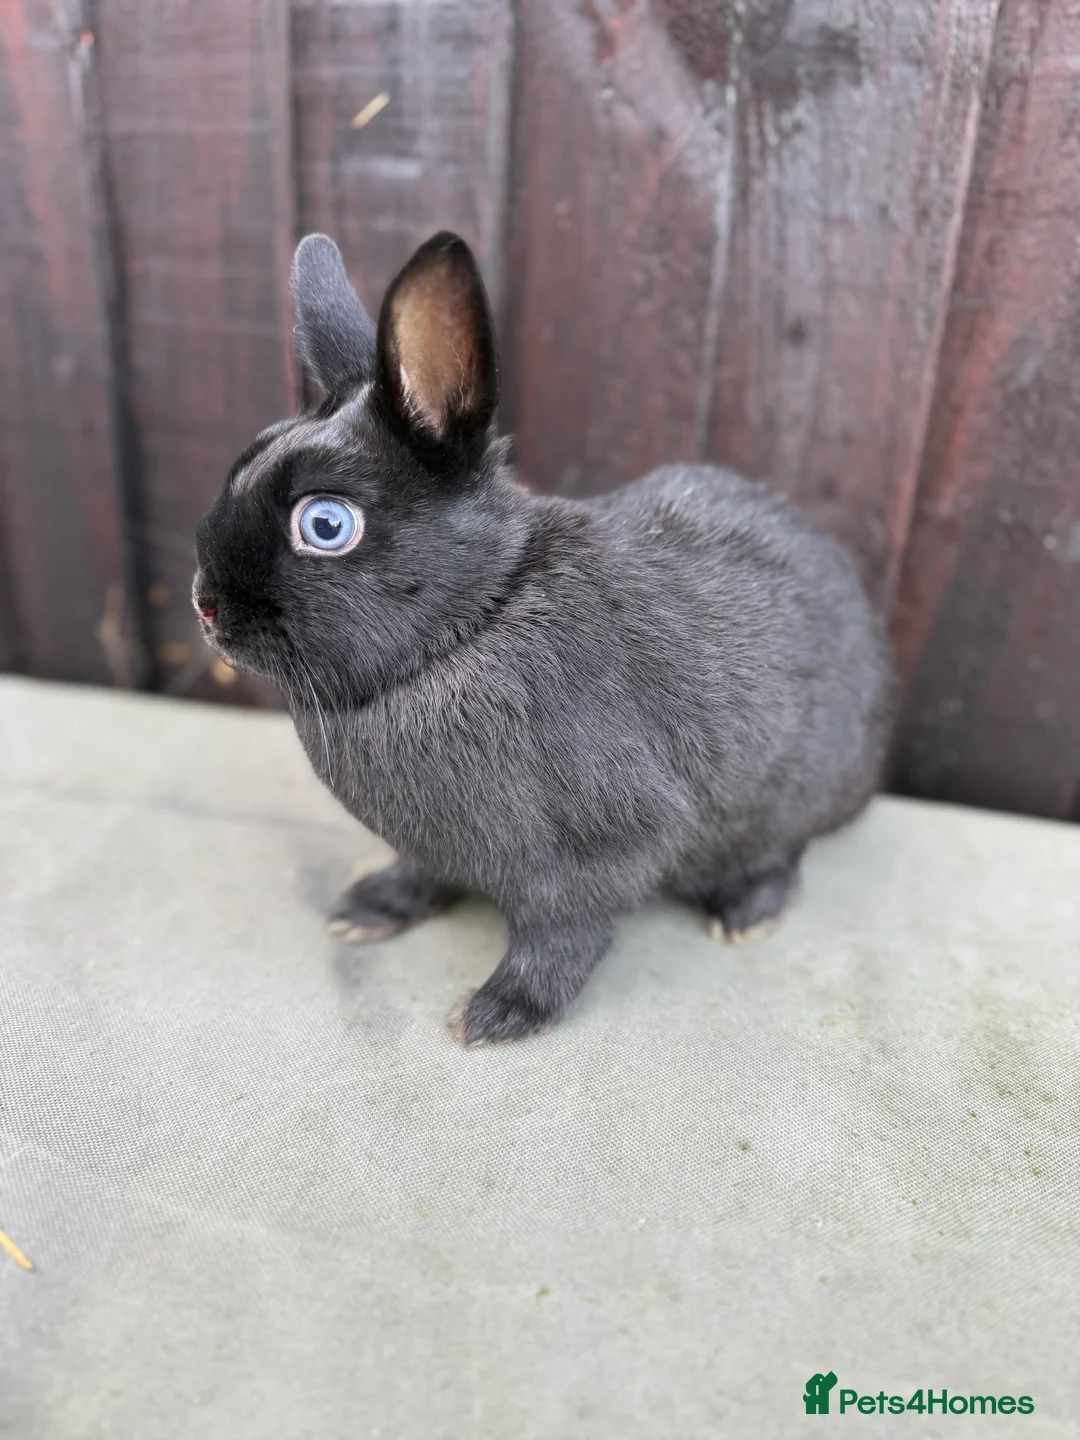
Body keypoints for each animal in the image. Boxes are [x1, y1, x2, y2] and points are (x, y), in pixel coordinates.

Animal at [193, 229, 895, 1045]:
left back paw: (748, 913)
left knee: (782, 850)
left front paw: (497, 1015)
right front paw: (368, 911)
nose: (206, 605)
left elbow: (562, 937)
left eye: (326, 524)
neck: (472, 622)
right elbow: (419, 875)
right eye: (247, 457)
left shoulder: (600, 853)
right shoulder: (429, 847)